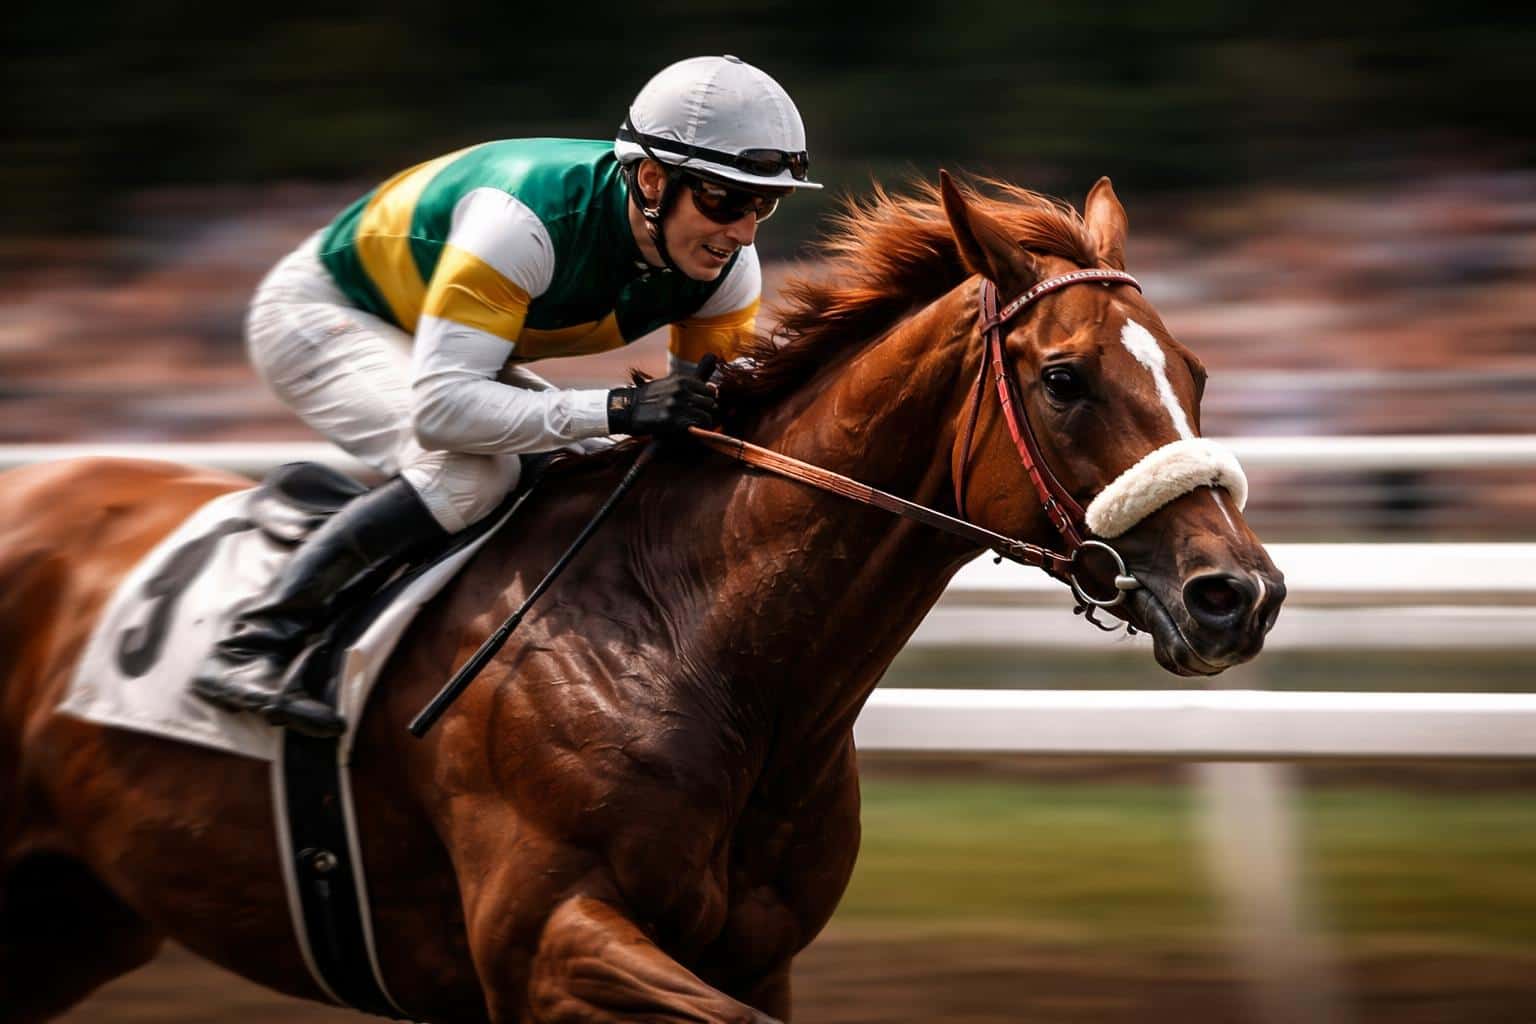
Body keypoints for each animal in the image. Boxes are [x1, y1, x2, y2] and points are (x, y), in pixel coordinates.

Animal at [0, 172, 1283, 1023]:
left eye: (1196, 371)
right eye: (1064, 378)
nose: (1240, 595)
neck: (700, 647)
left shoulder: (753, 954)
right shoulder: (544, 943)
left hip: (76, 915)